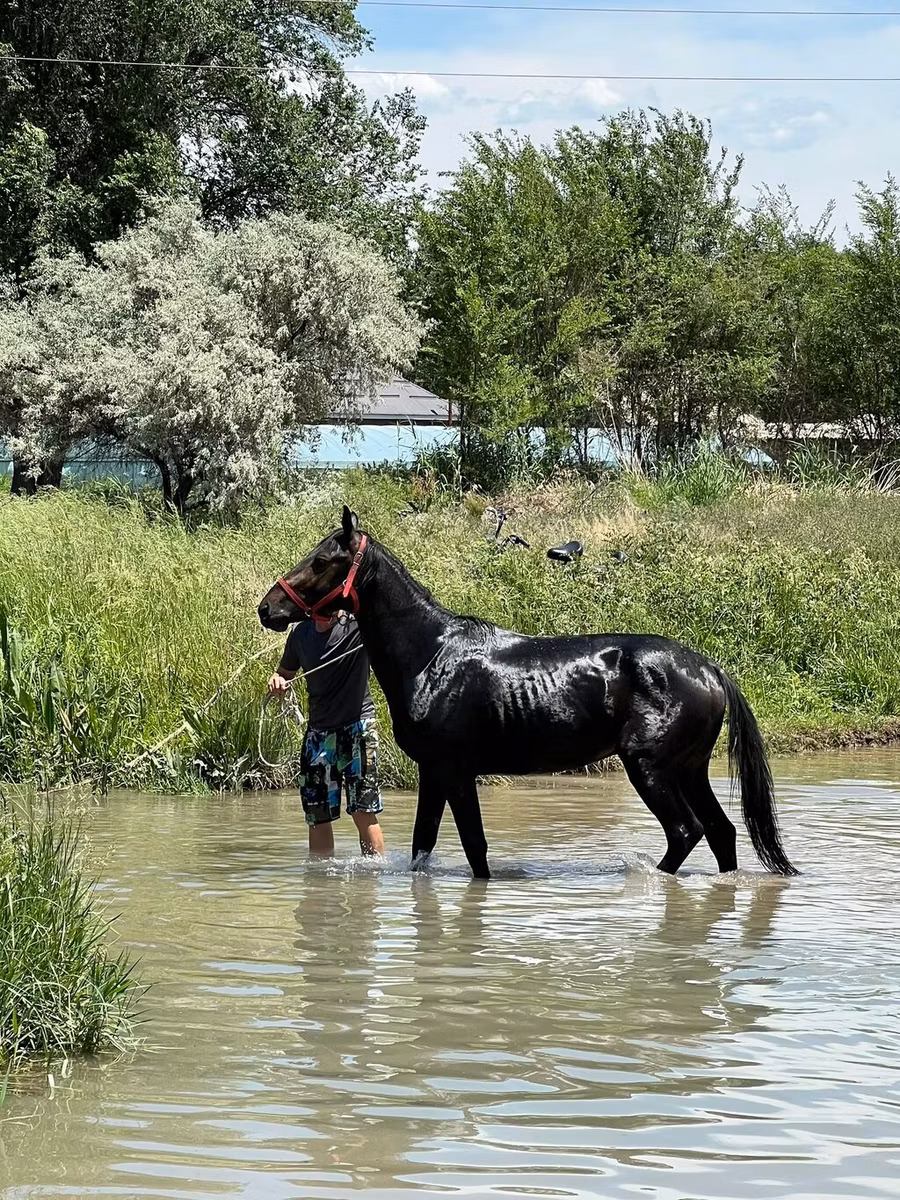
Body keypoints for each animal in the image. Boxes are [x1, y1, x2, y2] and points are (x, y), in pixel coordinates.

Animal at [257, 506, 797, 881]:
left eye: (322, 561)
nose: (268, 608)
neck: (432, 655)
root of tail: (708, 668)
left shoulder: (454, 771)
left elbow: (474, 848)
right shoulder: (434, 772)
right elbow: (422, 846)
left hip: (651, 768)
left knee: (687, 832)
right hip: (689, 769)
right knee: (723, 832)